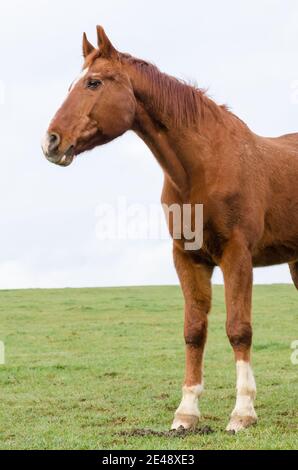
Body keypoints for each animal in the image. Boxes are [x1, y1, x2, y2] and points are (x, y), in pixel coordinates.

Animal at [42, 26, 298, 434]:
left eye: (94, 82)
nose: (51, 141)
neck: (204, 167)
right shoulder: (187, 258)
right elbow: (194, 331)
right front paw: (186, 413)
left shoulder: (237, 255)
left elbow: (238, 328)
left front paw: (242, 412)